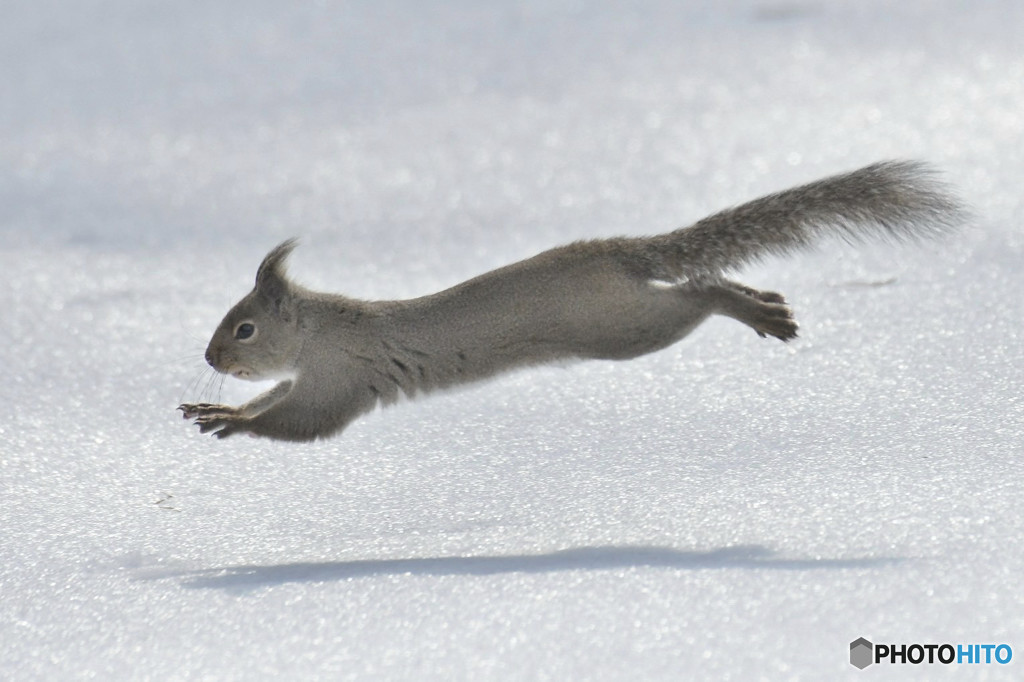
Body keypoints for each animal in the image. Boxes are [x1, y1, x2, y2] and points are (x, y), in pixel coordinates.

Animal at [180, 161, 962, 444]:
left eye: (243, 329)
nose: (210, 357)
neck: (318, 331)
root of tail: (620, 253)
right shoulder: (311, 375)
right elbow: (275, 401)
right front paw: (214, 407)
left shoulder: (341, 376)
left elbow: (298, 422)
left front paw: (229, 420)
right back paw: (763, 299)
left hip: (628, 328)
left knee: (699, 294)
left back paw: (753, 309)